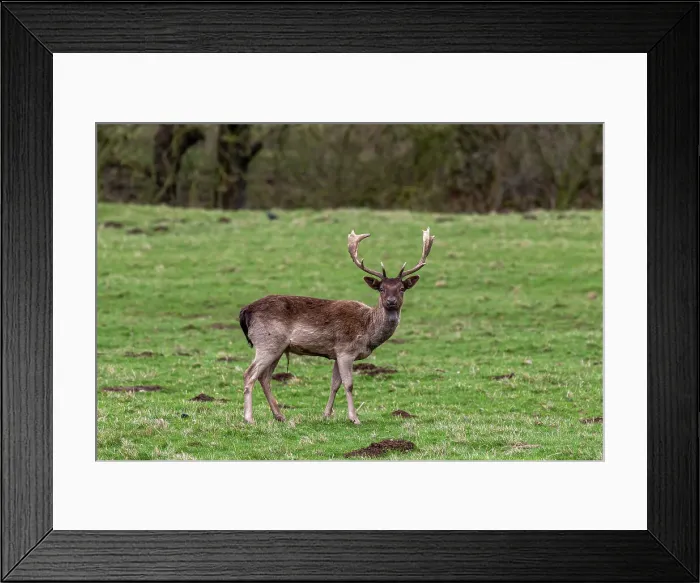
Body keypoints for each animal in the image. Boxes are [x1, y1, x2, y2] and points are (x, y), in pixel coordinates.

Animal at [237, 227, 435, 425]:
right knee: (249, 374)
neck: (368, 331)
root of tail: (246, 310)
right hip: (267, 342)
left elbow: (335, 384)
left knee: (264, 377)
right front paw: (354, 418)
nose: (391, 301)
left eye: (402, 289)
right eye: (381, 289)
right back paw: (249, 418)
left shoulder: (336, 354)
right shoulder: (345, 351)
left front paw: (326, 414)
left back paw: (279, 416)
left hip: (278, 347)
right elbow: (349, 384)